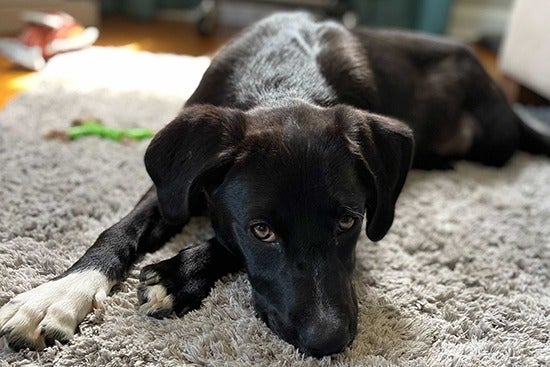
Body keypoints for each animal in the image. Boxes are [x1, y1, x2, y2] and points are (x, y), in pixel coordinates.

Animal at [1, 12, 550, 360]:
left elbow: (222, 241)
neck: (283, 82)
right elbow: (121, 229)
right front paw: (60, 292)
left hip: (491, 142)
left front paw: (177, 277)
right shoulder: (174, 183)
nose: (327, 342)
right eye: (261, 230)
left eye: (349, 222)